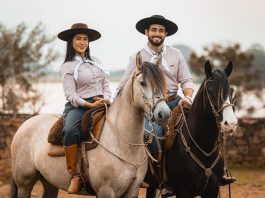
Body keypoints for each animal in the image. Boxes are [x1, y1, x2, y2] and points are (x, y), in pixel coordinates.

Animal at [144, 61, 237, 197]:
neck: (204, 146)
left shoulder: (213, 189)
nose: (230, 124)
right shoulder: (183, 190)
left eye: (232, 91)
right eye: (210, 90)